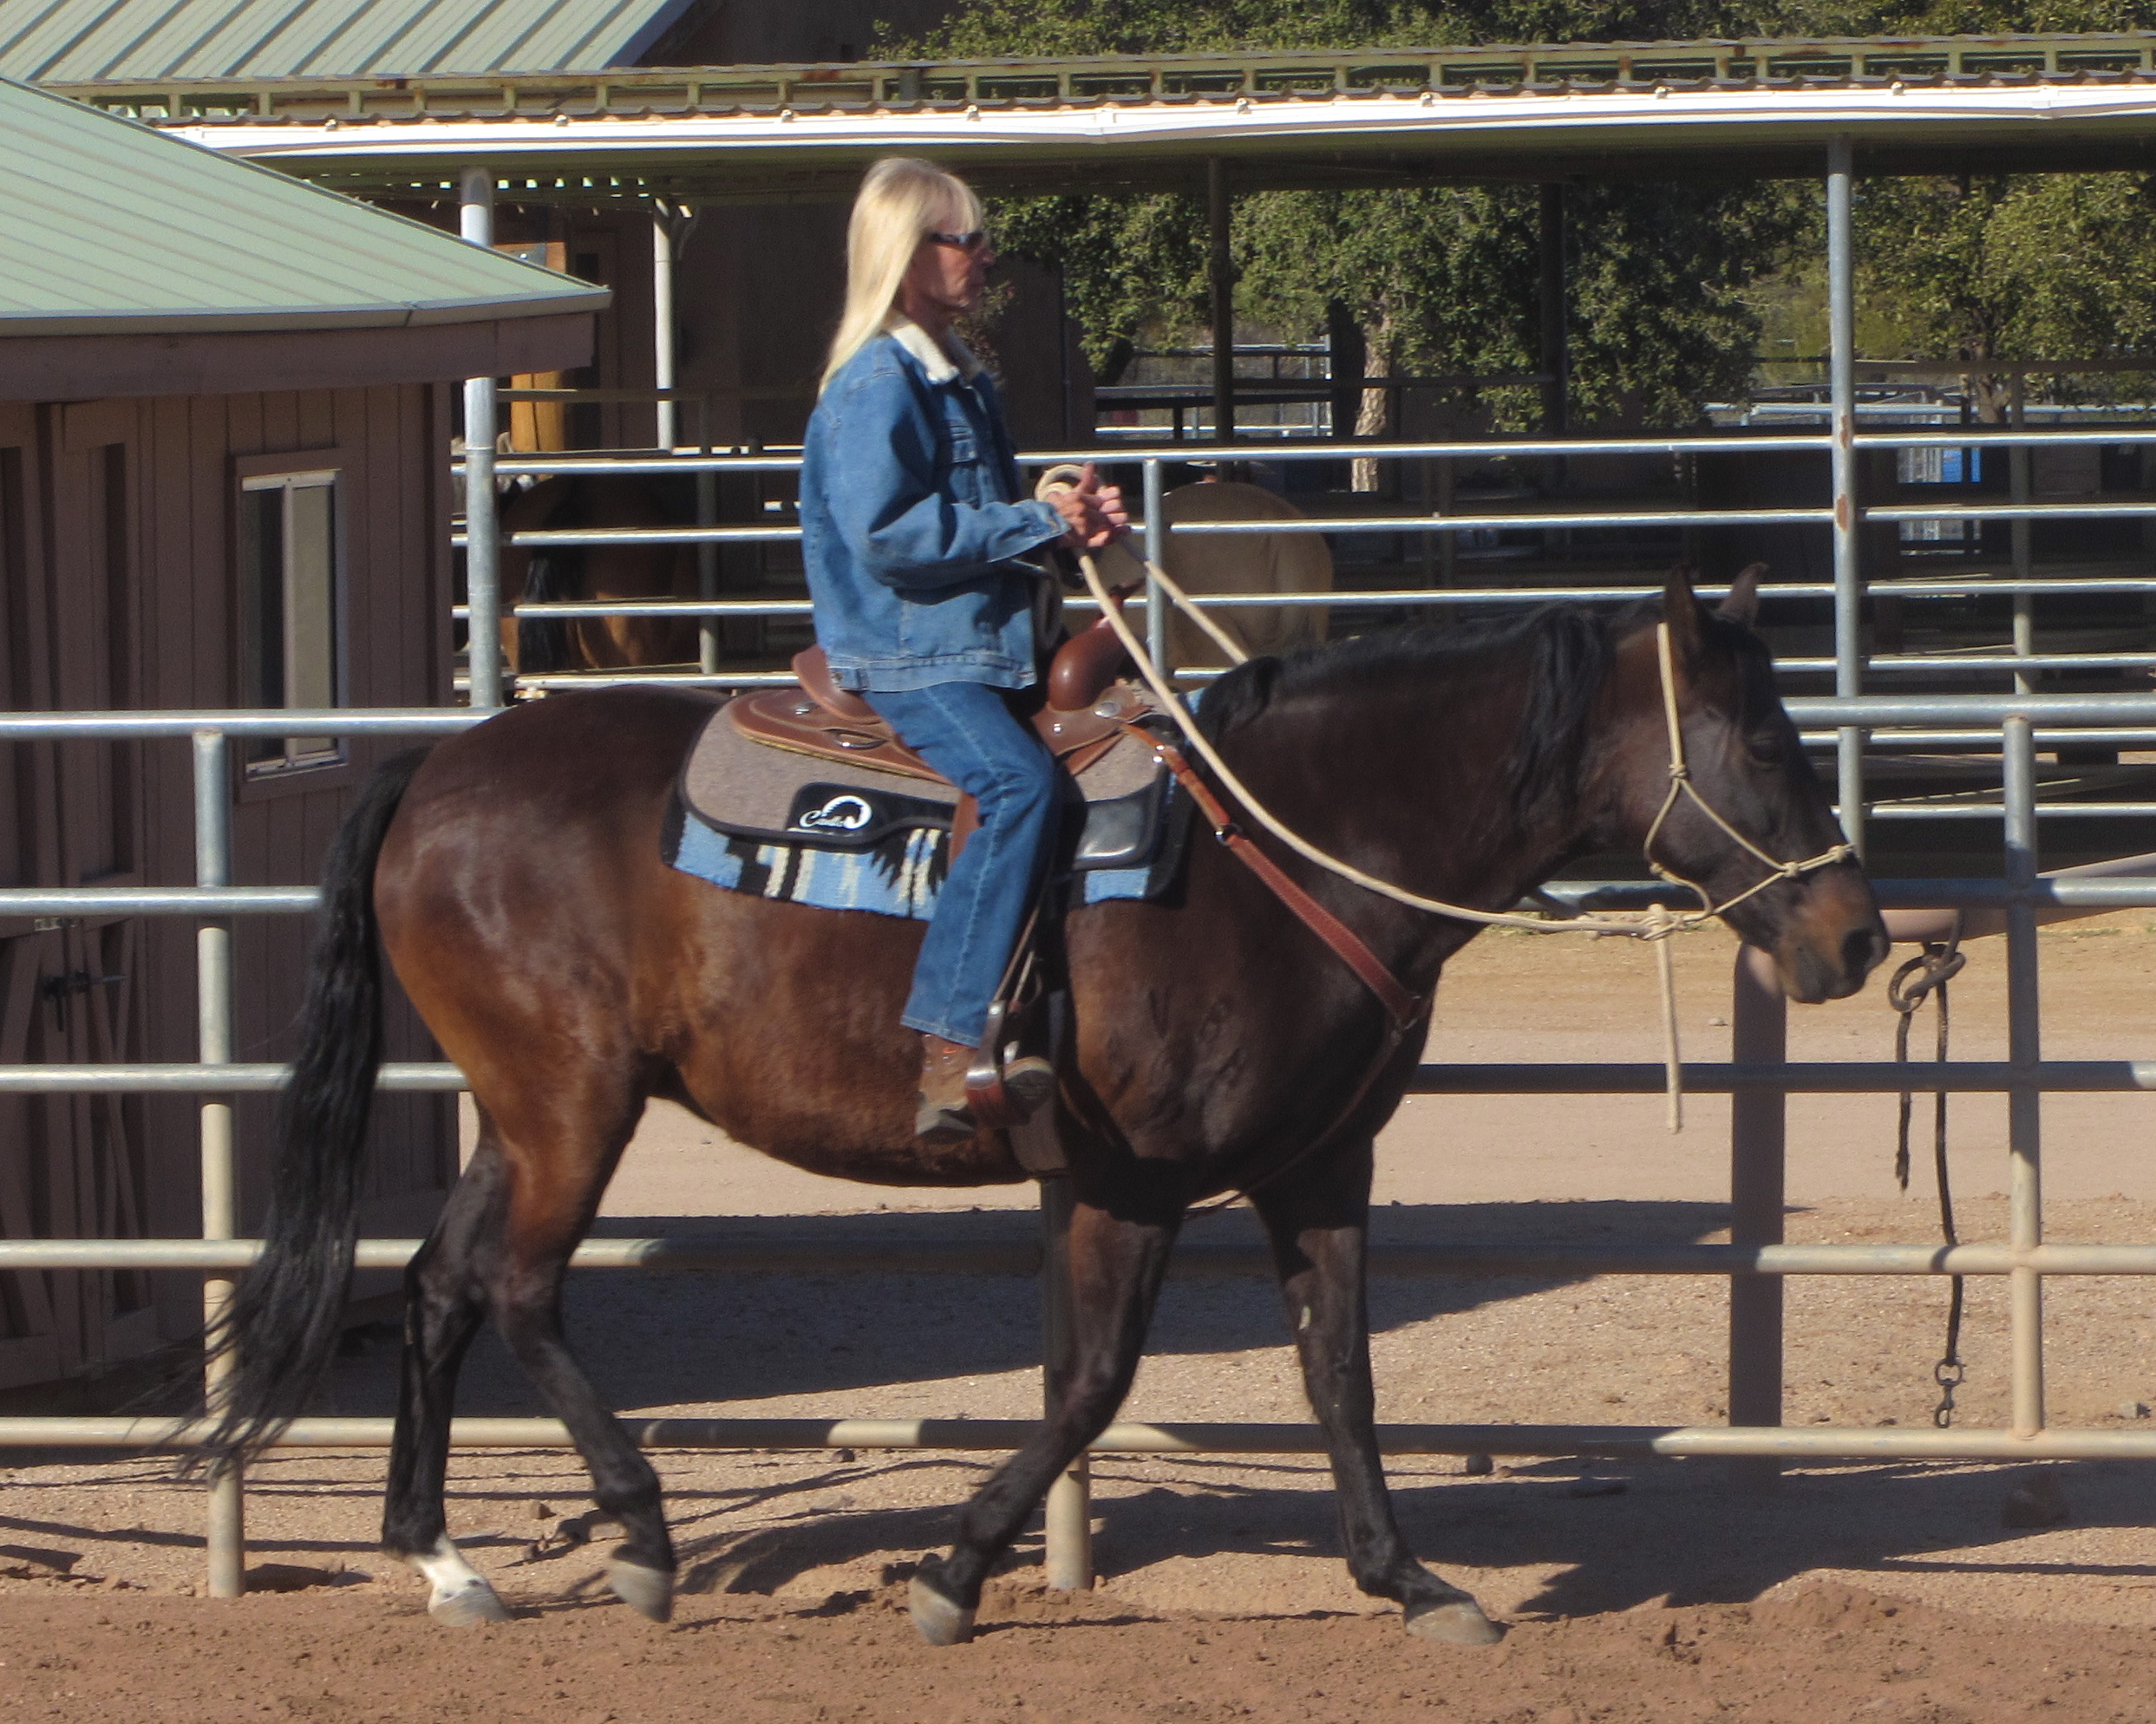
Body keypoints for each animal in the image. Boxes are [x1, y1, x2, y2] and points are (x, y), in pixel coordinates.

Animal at [200, 565, 1886, 1646]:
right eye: (1760, 740)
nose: (1857, 935)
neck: (1293, 850)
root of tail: (434, 770)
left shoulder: (1319, 1166)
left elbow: (1338, 1375)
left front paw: (1408, 1582)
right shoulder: (1132, 1182)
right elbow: (1088, 1382)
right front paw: (954, 1571)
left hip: (521, 1105)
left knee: (437, 1287)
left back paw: (442, 1561)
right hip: (572, 1103)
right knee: (521, 1288)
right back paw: (645, 1538)